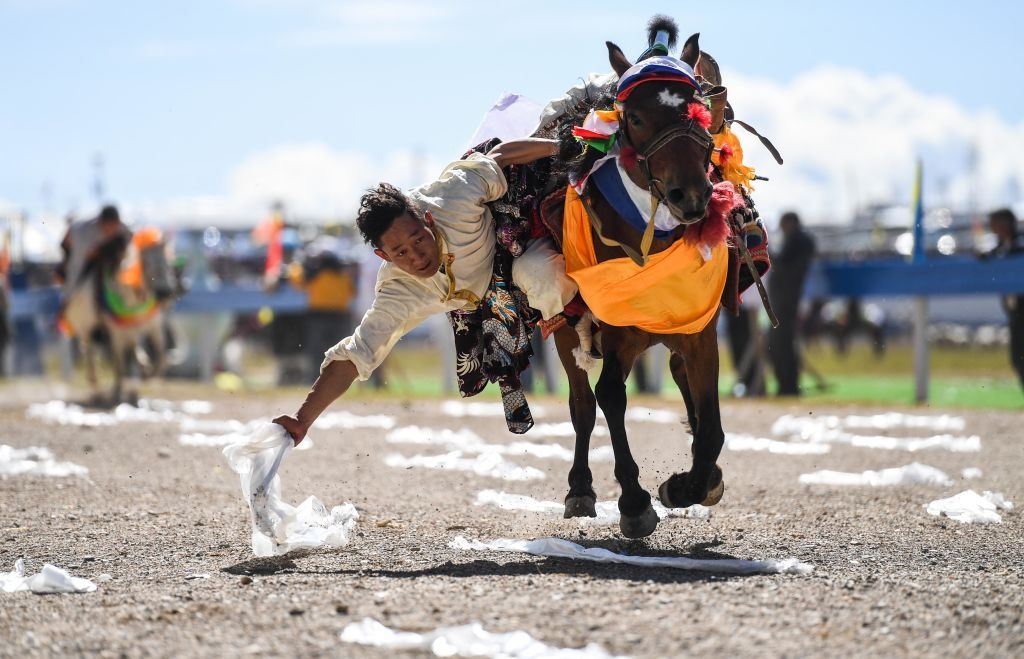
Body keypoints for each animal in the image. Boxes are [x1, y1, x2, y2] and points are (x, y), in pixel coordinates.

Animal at [552, 25, 737, 540]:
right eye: (634, 117)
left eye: (698, 109)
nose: (690, 194)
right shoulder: (615, 331)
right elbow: (608, 398)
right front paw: (635, 501)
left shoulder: (698, 330)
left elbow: (710, 424)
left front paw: (692, 484)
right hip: (566, 329)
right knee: (583, 403)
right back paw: (581, 487)